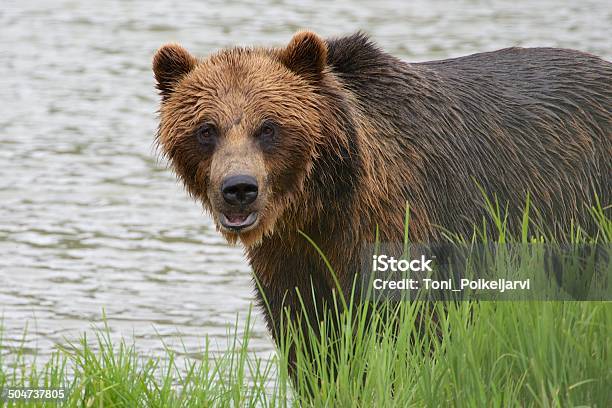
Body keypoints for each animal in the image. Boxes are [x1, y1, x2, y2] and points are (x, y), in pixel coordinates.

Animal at [152, 30, 612, 362]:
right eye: (206, 129)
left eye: (268, 127)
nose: (239, 188)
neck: (321, 203)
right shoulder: (290, 259)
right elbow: (309, 339)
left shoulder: (398, 224)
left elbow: (409, 327)